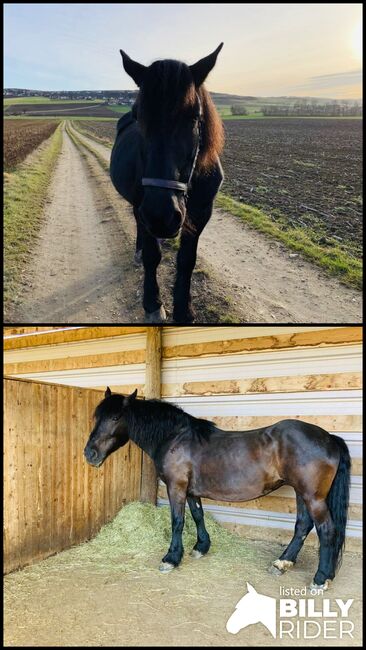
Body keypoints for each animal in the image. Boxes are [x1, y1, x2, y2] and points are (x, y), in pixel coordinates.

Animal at [84, 388, 350, 588]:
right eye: (97, 417)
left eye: (115, 418)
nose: (90, 454)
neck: (175, 438)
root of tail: (329, 438)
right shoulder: (191, 491)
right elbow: (197, 515)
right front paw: (201, 547)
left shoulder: (176, 487)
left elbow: (177, 521)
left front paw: (171, 558)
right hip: (300, 492)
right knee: (303, 526)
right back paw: (282, 563)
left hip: (312, 496)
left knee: (326, 530)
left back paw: (320, 578)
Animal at [108, 43, 224, 322]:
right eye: (138, 116)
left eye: (194, 116)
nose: (162, 215)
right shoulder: (144, 206)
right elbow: (153, 256)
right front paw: (153, 303)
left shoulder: (202, 212)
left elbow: (187, 260)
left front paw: (184, 310)